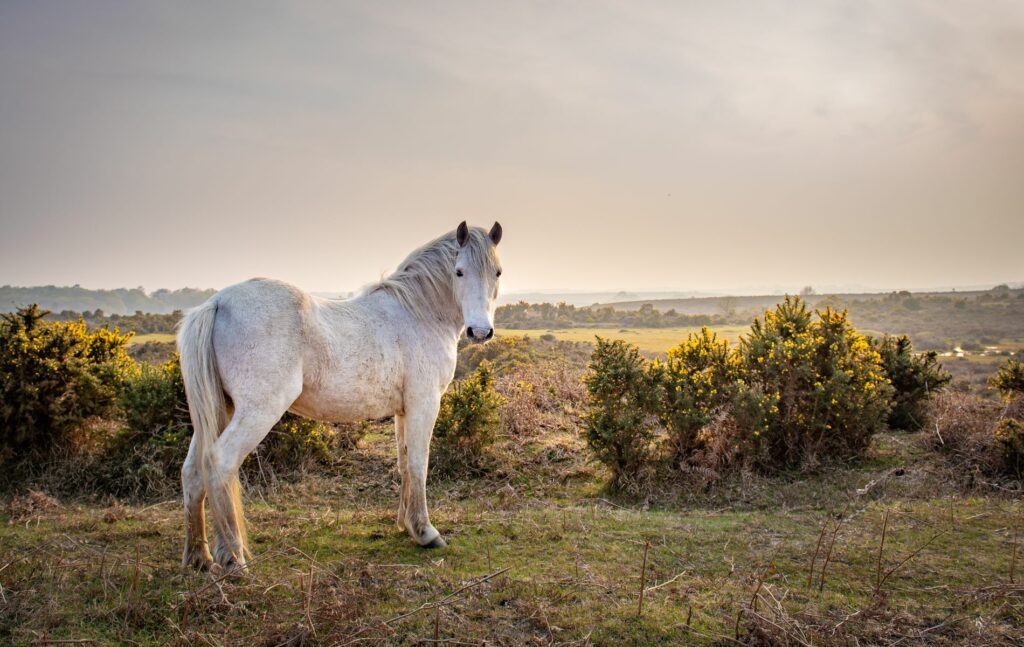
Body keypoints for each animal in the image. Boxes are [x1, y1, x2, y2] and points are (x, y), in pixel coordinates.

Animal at [181, 222, 507, 569]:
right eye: (459, 271)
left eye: (497, 272)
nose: (480, 332)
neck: (419, 313)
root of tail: (217, 303)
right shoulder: (424, 403)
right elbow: (419, 463)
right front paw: (426, 532)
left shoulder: (403, 410)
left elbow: (404, 463)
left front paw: (406, 525)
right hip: (257, 412)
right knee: (219, 462)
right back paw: (233, 559)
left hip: (221, 410)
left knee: (193, 472)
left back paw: (199, 557)